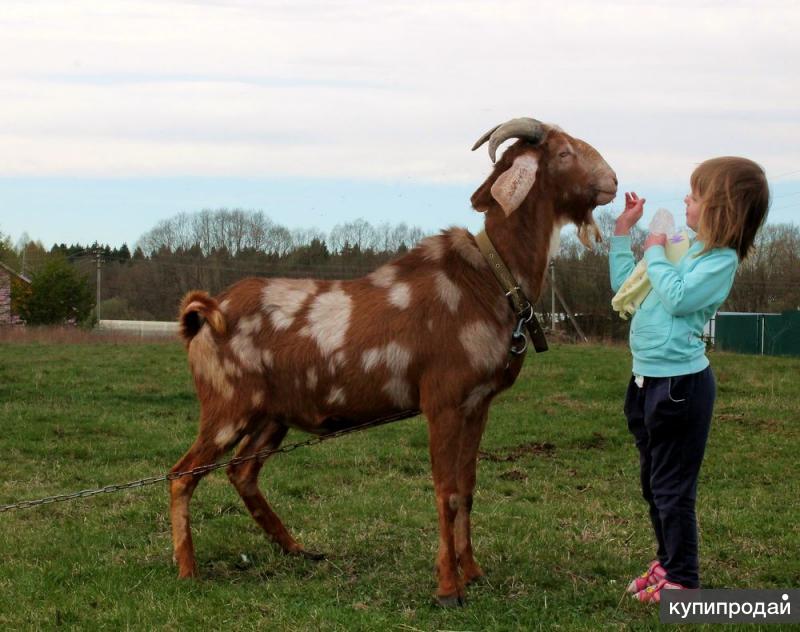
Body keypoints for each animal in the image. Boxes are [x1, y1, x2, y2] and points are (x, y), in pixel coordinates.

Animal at [170, 116, 620, 604]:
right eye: (563, 153)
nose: (614, 182)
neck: (491, 278)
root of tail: (208, 314)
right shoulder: (442, 401)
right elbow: (446, 491)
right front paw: (448, 588)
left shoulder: (477, 404)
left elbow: (468, 488)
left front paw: (473, 572)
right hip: (227, 408)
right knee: (182, 475)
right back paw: (188, 571)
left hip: (271, 417)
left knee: (242, 472)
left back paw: (297, 549)